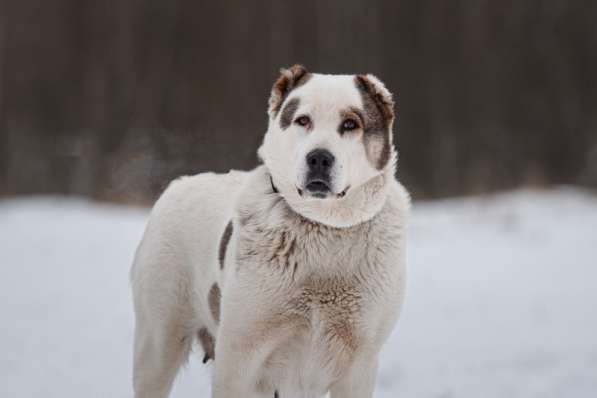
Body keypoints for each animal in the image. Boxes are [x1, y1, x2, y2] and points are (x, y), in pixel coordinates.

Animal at [130, 63, 410, 396]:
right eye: (303, 120)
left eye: (350, 124)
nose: (319, 157)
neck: (324, 227)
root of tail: (178, 184)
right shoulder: (240, 358)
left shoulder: (359, 363)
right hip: (159, 340)